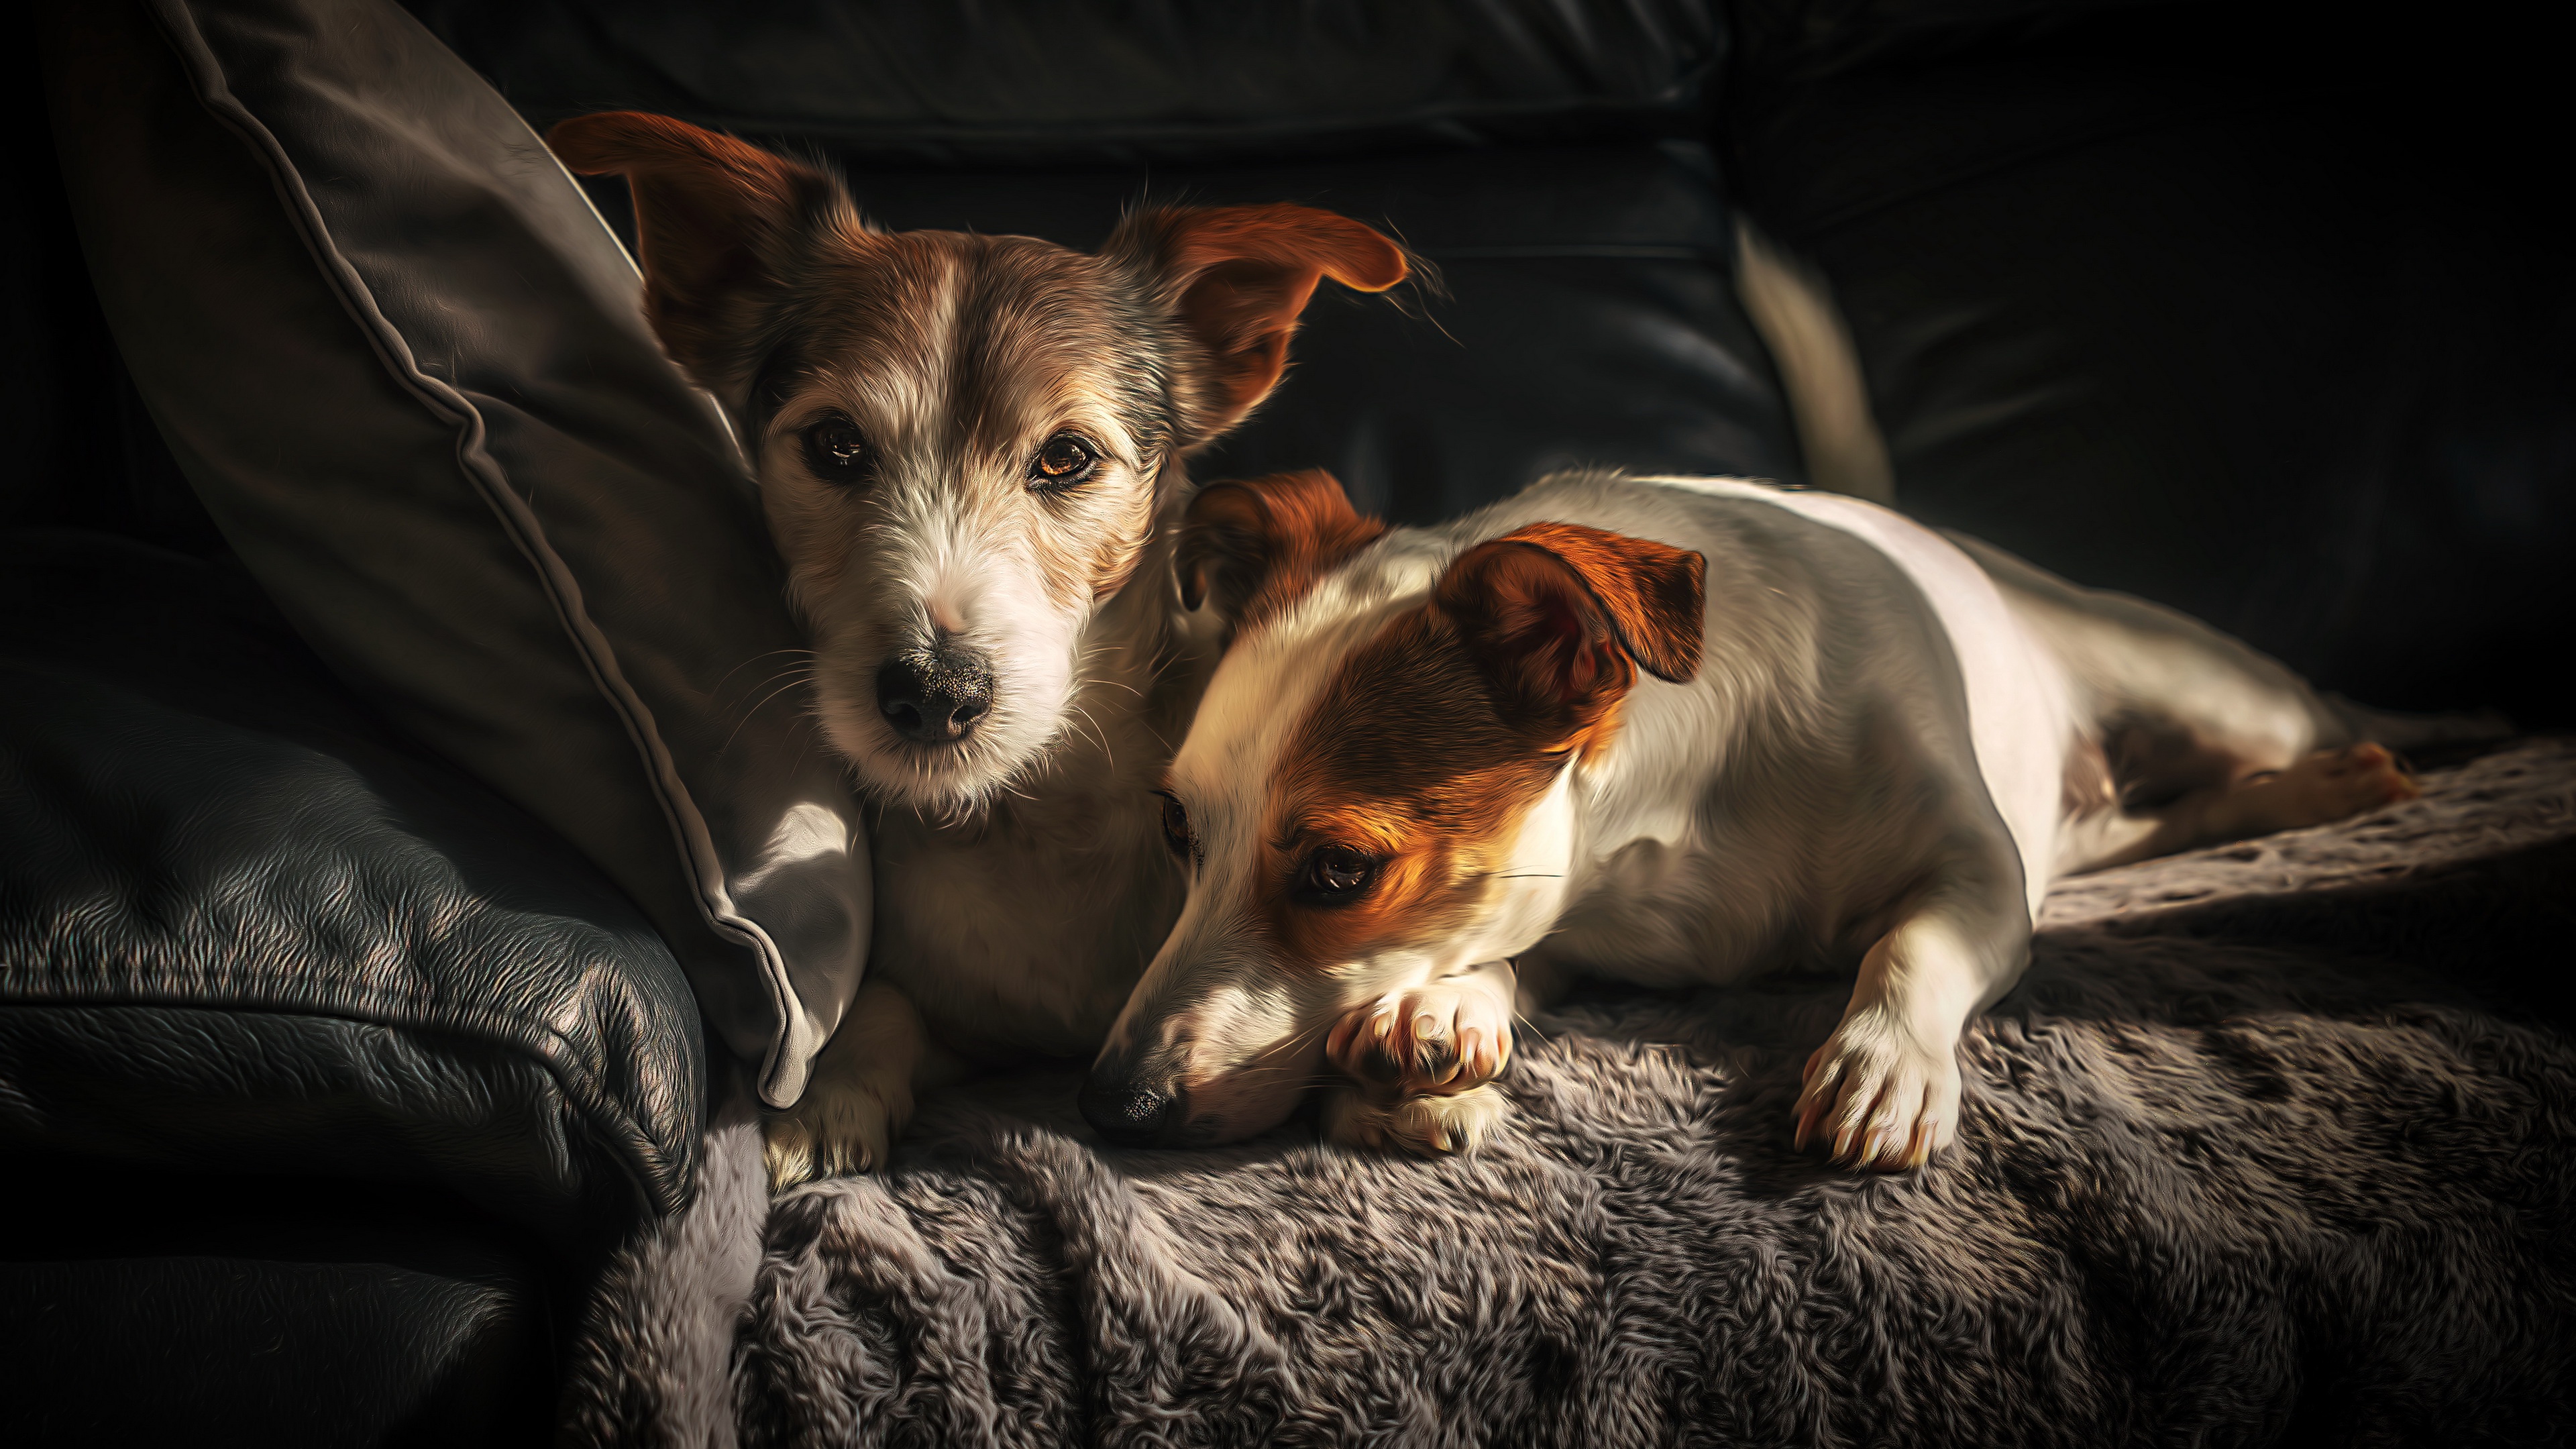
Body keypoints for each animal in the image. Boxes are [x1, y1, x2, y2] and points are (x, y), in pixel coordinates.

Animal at [546, 110, 1421, 1175]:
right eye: (836, 444)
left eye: (1068, 458)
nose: (932, 693)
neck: (1033, 820)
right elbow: (886, 1006)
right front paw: (828, 1096)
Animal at [1081, 469, 2431, 1165]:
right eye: (1175, 833)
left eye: (1338, 872)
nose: (1113, 1108)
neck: (1673, 829)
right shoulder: (1562, 913)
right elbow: (1504, 958)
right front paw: (1443, 1007)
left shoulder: (1978, 876)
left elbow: (1913, 947)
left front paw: (1885, 1065)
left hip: (2217, 696)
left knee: (2281, 733)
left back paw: (2358, 772)